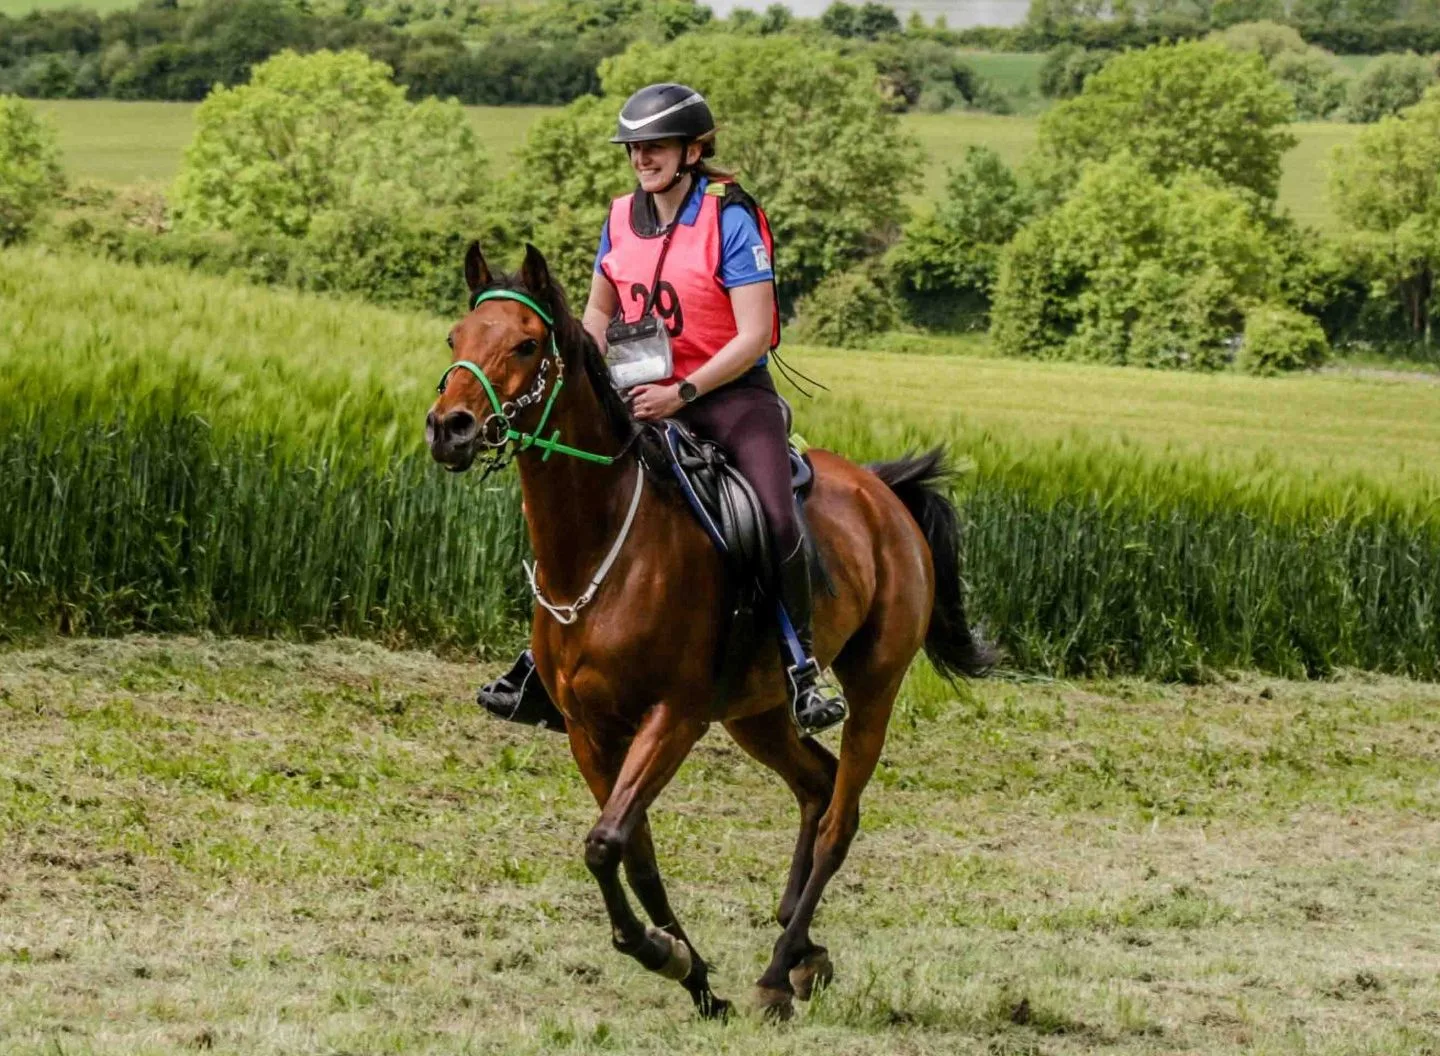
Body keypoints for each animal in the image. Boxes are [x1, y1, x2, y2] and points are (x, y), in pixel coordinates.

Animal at [426, 241, 993, 1021]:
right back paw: (802, 950)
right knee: (817, 786)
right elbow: (632, 850)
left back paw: (777, 971)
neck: (600, 545)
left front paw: (659, 952)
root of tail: (884, 492)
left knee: (840, 819)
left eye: (526, 344)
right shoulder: (588, 731)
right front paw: (690, 971)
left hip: (872, 684)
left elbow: (605, 843)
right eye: (457, 337)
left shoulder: (675, 716)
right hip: (755, 711)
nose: (447, 428)